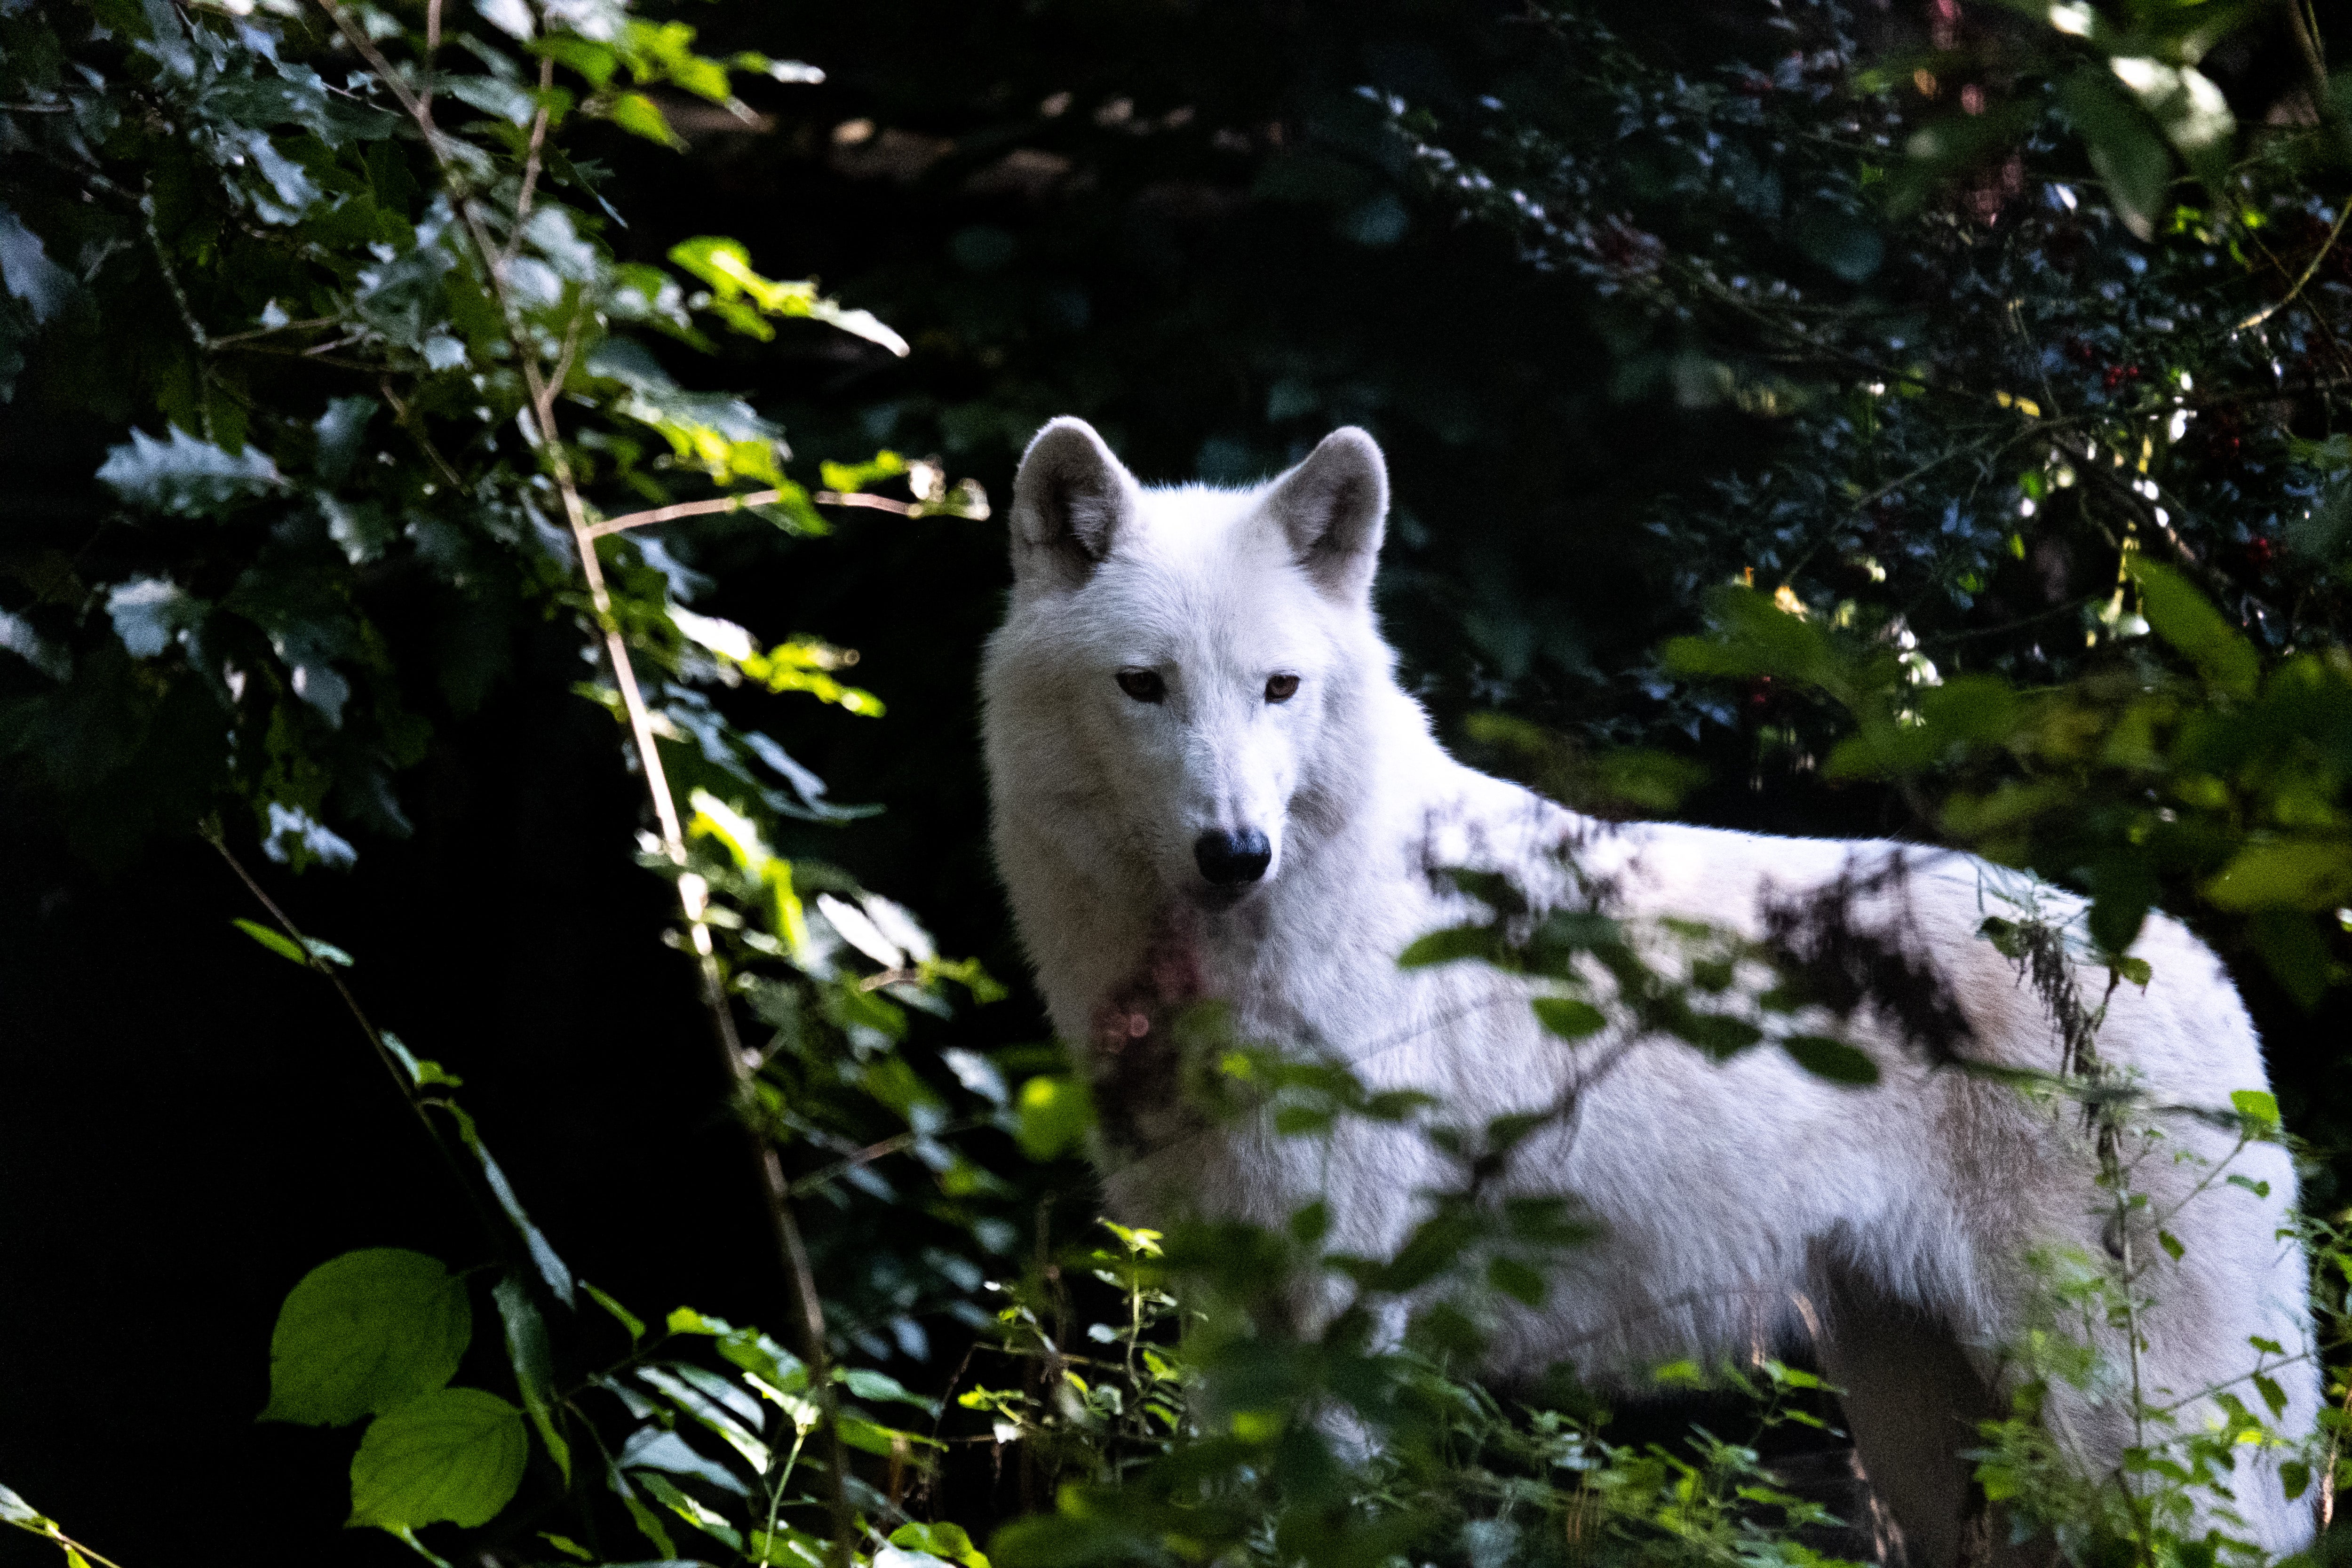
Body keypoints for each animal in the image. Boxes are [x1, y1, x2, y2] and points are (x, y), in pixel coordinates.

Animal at [974, 414, 2314, 1561]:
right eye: (1144, 685)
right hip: (1934, 1436)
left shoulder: (1344, 1307)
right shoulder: (1219, 1298)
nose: (1236, 852)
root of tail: (2199, 970)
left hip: (2123, 1434)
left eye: (1278, 688)